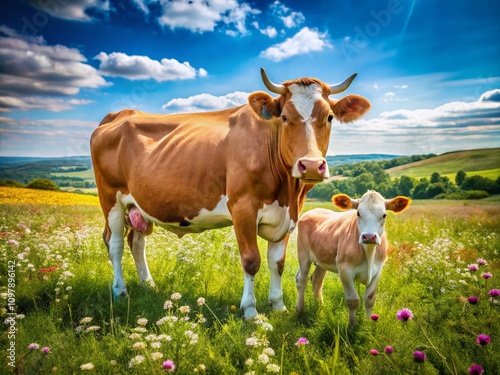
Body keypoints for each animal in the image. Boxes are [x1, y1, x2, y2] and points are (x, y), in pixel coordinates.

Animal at [91, 68, 372, 320]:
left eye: (330, 117)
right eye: (283, 117)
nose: (311, 165)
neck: (288, 192)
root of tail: (119, 113)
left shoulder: (288, 215)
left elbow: (277, 263)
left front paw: (278, 305)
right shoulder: (243, 208)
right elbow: (251, 261)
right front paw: (250, 311)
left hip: (140, 204)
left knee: (137, 242)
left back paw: (148, 284)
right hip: (111, 198)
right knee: (115, 243)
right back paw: (120, 290)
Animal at [294, 192, 408, 324]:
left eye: (384, 215)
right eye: (358, 213)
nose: (369, 236)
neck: (369, 253)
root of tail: (313, 211)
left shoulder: (378, 270)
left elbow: (369, 299)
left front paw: (369, 323)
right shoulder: (345, 270)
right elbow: (353, 300)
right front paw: (352, 325)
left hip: (321, 260)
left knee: (317, 279)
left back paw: (320, 308)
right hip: (303, 255)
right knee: (301, 279)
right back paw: (299, 310)